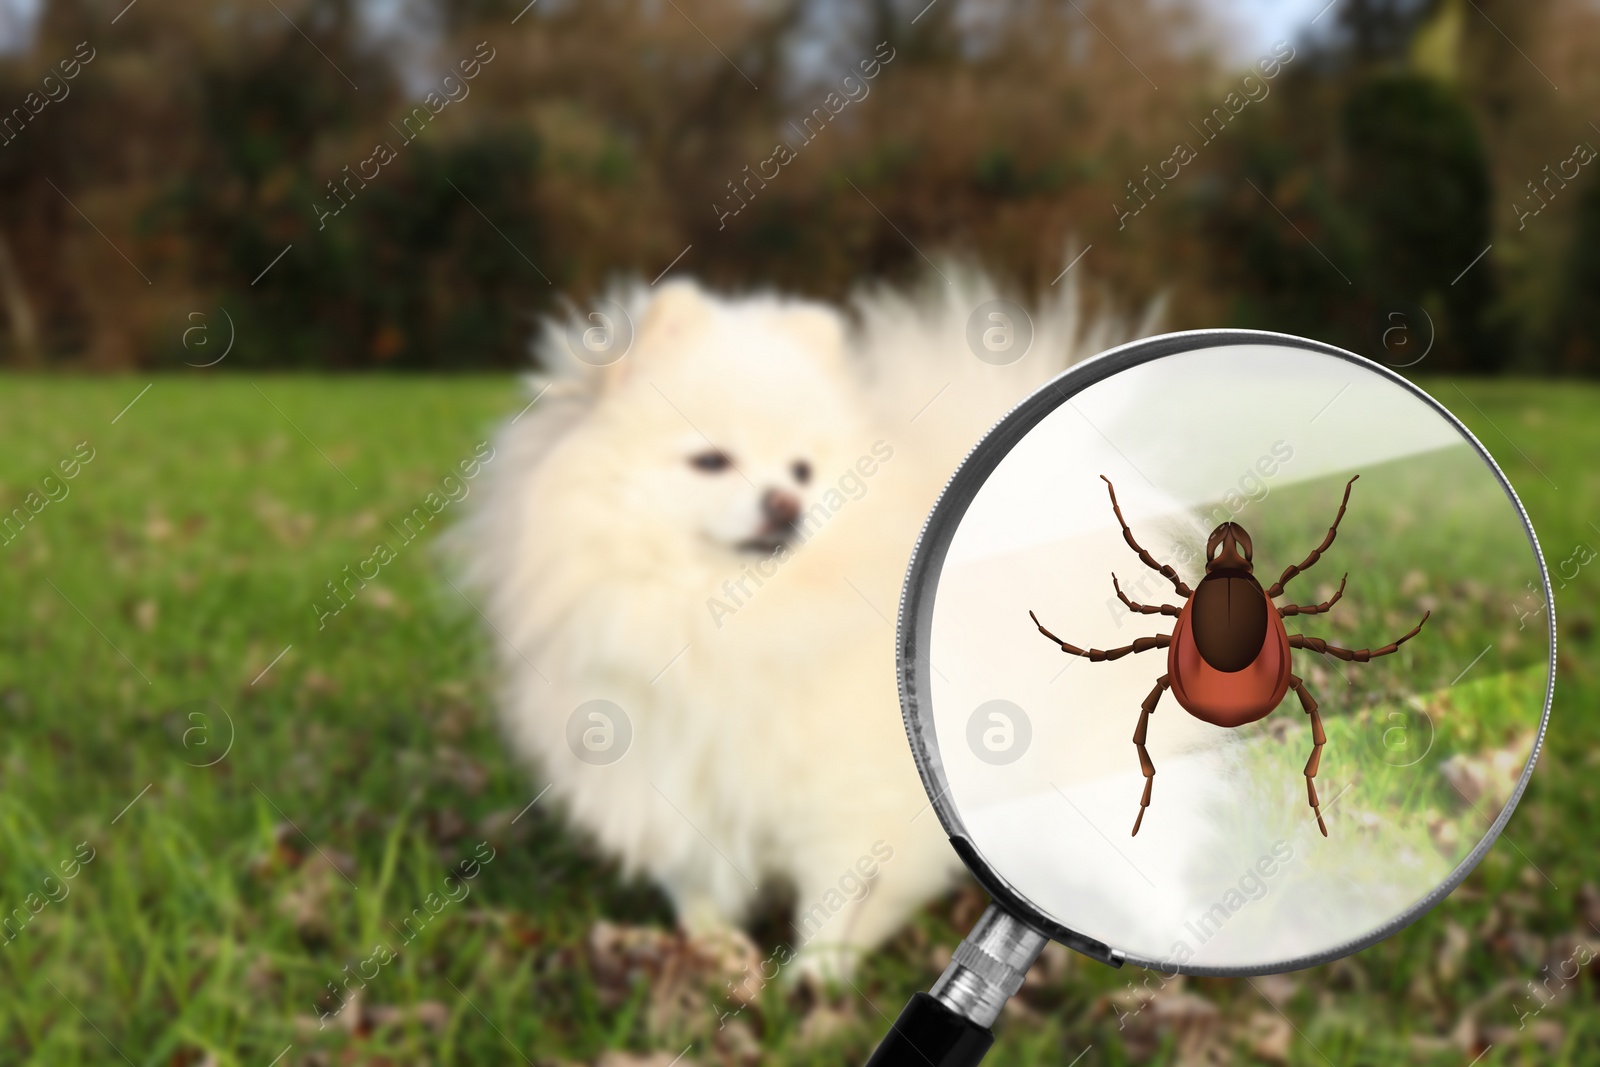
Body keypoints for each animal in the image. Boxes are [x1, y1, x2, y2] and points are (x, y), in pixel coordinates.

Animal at [454, 262, 1152, 979]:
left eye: (801, 469)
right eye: (711, 460)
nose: (786, 502)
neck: (727, 625)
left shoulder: (855, 803)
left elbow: (838, 898)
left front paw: (815, 981)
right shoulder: (660, 771)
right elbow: (695, 879)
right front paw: (715, 952)